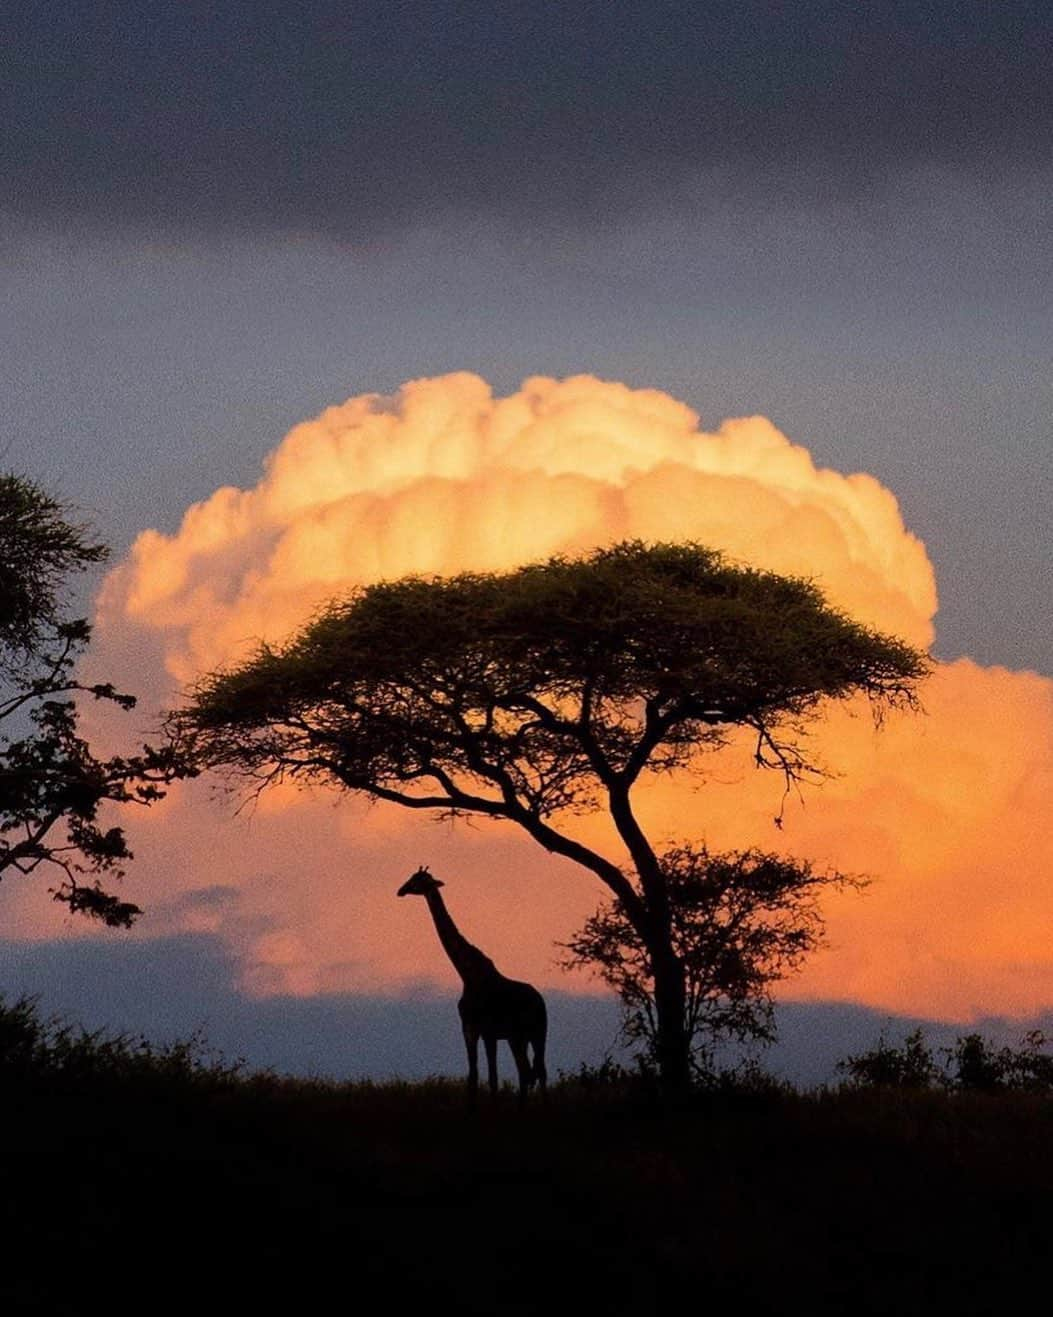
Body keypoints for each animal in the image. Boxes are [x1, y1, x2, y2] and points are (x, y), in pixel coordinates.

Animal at [397, 863, 550, 1101]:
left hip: (538, 1033)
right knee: (525, 1072)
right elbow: (473, 1077)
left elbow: (492, 1079)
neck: (467, 974)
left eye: (418, 880)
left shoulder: (488, 1031)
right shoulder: (469, 1029)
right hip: (518, 1037)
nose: (401, 890)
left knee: (539, 1071)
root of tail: (540, 1000)